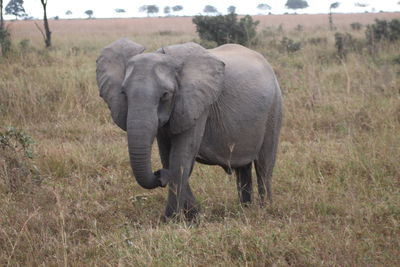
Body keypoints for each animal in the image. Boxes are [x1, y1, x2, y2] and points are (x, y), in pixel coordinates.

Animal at [97, 39, 282, 220]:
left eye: (165, 95)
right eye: (123, 93)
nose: (159, 174)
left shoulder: (197, 104)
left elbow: (181, 156)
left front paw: (171, 220)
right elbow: (167, 156)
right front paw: (194, 214)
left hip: (274, 108)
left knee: (264, 165)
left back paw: (264, 210)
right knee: (243, 168)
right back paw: (245, 209)